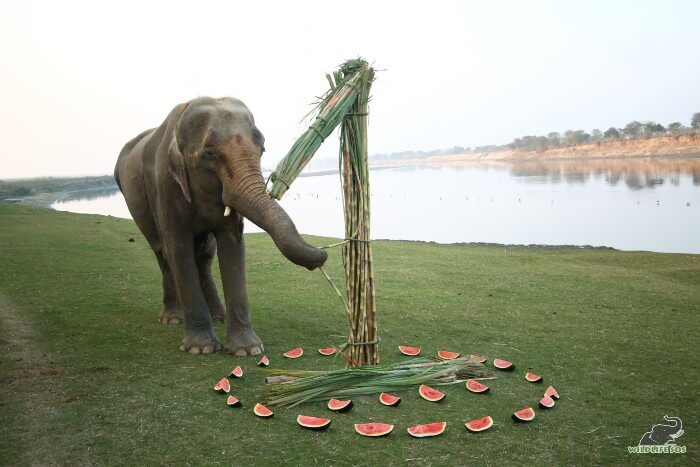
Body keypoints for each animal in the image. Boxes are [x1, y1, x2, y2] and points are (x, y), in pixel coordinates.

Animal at [114, 98, 328, 354]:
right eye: (209, 154)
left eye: (263, 149)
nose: (322, 256)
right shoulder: (164, 186)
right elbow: (178, 249)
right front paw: (200, 349)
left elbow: (232, 246)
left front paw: (247, 350)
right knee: (162, 252)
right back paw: (172, 319)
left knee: (204, 254)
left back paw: (219, 317)